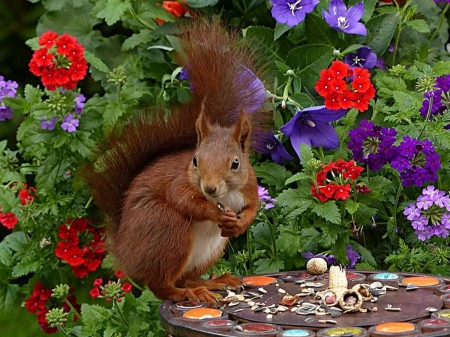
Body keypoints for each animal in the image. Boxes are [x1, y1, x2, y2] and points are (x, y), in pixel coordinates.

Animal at [83, 19, 266, 304]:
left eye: (236, 163)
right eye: (195, 160)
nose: (210, 188)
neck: (223, 195)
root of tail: (126, 252)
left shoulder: (249, 187)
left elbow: (253, 208)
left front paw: (239, 223)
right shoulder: (179, 183)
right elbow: (183, 200)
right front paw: (215, 212)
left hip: (208, 251)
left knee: (184, 277)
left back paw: (214, 282)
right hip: (168, 228)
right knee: (163, 286)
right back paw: (191, 292)